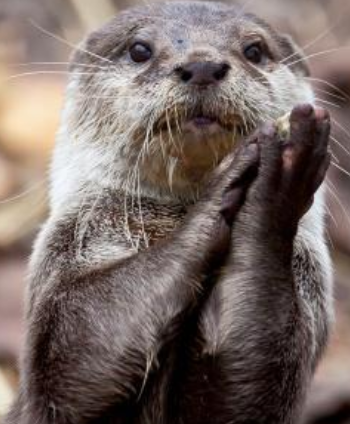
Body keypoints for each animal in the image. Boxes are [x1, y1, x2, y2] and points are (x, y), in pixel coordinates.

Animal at [6, 3, 334, 424]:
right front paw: (259, 173)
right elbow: (74, 357)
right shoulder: (62, 272)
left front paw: (280, 170)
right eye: (139, 50)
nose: (202, 66)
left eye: (255, 50)